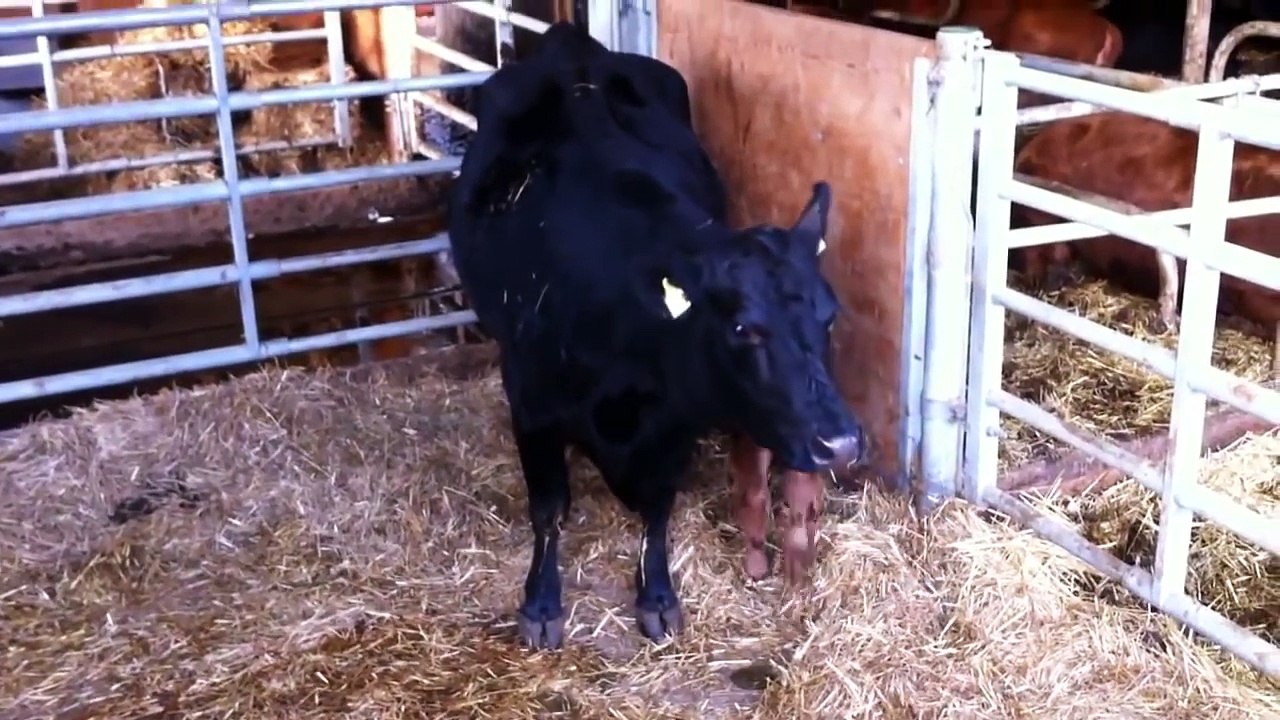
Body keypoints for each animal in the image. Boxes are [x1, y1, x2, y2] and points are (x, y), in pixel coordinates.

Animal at [447, 21, 866, 649]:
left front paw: (658, 596)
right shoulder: (530, 402)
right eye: (742, 327)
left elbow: (658, 505)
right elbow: (548, 508)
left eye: (830, 315)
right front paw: (541, 602)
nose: (839, 443)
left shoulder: (676, 420)